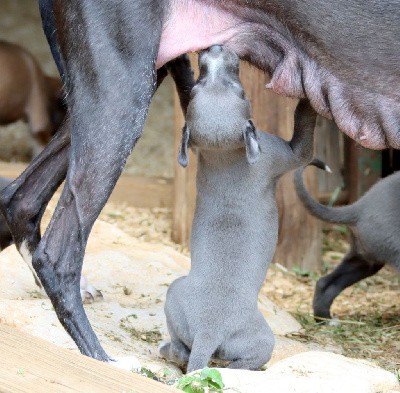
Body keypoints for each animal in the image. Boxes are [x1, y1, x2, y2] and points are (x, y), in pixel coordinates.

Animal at [159, 46, 318, 370]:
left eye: (198, 88)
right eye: (243, 93)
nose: (215, 48)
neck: (226, 153)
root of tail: (209, 329)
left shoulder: (195, 144)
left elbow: (183, 98)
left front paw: (178, 63)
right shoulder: (287, 154)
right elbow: (305, 125)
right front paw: (309, 92)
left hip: (174, 297)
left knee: (184, 352)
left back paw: (169, 350)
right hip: (262, 341)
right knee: (243, 365)